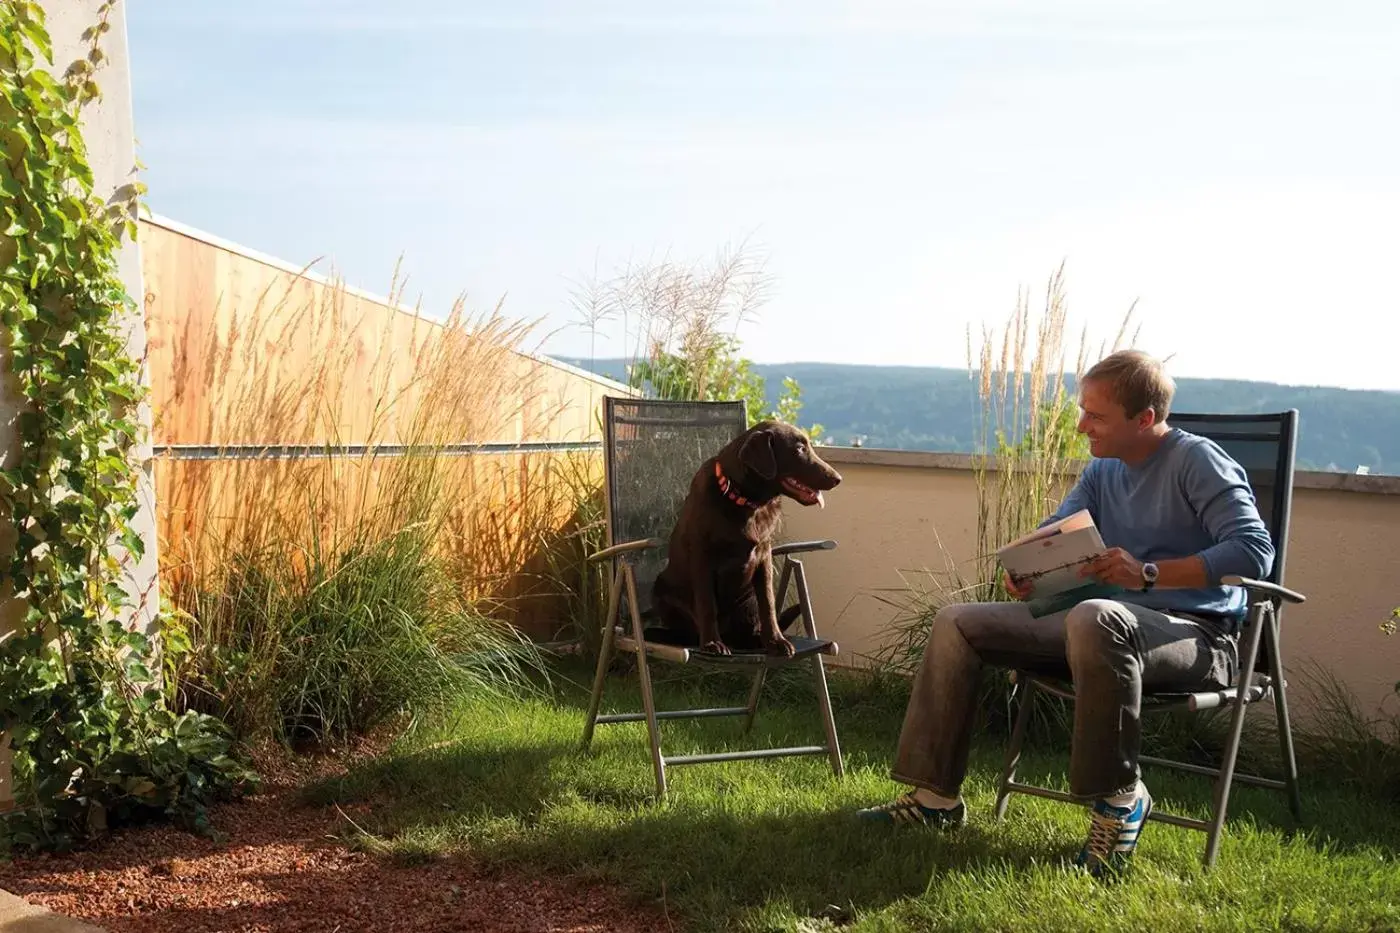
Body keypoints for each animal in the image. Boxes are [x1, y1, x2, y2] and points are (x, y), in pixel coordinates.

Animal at [646, 420, 840, 652]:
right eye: (800, 449)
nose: (838, 479)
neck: (745, 502)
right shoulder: (702, 557)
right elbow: (706, 603)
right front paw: (712, 643)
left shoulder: (763, 557)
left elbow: (768, 604)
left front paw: (776, 641)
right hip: (661, 588)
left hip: (747, 601)